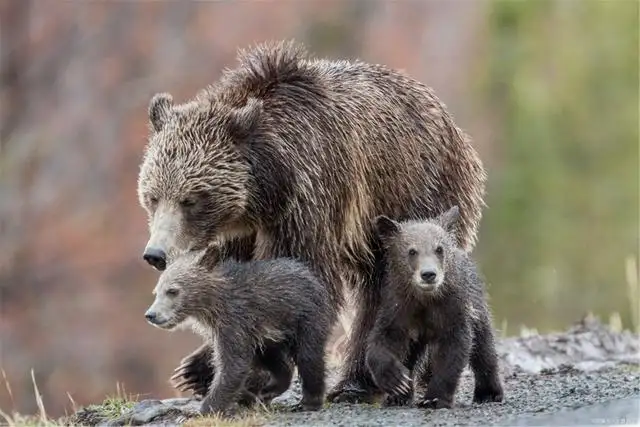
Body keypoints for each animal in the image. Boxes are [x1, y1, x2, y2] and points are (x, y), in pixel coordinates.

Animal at [144, 246, 332, 416]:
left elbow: (233, 365)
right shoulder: (228, 328)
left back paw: (309, 401)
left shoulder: (234, 321)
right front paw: (246, 397)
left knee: (308, 356)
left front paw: (206, 408)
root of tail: (310, 275)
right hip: (269, 336)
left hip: (305, 318)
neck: (211, 305)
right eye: (156, 291)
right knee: (275, 360)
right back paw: (269, 389)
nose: (151, 315)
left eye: (172, 290)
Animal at [368, 207, 502, 412]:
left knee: (483, 348)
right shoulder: (398, 308)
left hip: (478, 307)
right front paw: (396, 381)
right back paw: (399, 397)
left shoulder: (452, 310)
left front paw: (434, 398)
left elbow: (453, 351)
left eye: (439, 249)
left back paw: (489, 392)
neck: (426, 299)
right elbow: (381, 340)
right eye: (412, 251)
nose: (429, 274)